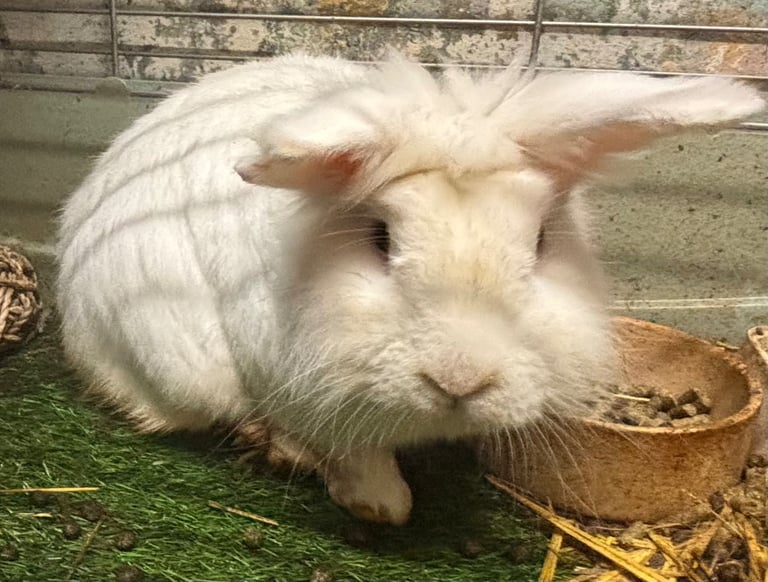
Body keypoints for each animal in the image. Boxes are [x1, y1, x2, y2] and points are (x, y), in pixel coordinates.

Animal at [56, 53, 765, 525]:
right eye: (380, 239)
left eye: (540, 243)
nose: (459, 379)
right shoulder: (305, 394)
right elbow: (363, 466)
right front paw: (380, 504)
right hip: (174, 366)